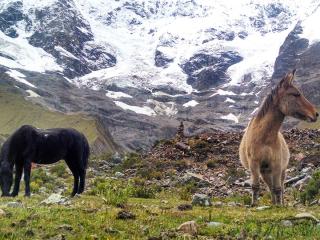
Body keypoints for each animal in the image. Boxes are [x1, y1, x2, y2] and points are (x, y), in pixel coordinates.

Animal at [240, 69, 318, 204]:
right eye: (296, 94)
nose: (316, 114)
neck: (264, 138)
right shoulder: (254, 164)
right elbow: (256, 186)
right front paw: (254, 204)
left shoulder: (277, 164)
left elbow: (278, 189)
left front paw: (279, 205)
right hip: (265, 172)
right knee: (270, 187)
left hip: (281, 171)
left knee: (279, 187)